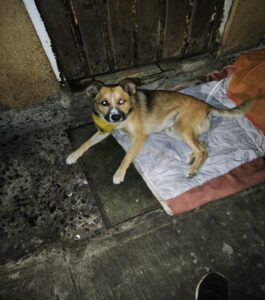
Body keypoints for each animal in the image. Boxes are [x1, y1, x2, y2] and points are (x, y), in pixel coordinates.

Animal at [66, 78, 252, 184]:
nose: (115, 117)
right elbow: (86, 143)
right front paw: (73, 155)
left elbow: (127, 157)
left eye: (121, 101)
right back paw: (192, 158)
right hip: (172, 129)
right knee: (204, 144)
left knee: (202, 149)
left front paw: (119, 174)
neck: (128, 113)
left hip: (182, 128)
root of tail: (206, 105)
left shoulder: (140, 137)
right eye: (104, 103)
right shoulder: (104, 131)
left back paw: (193, 169)